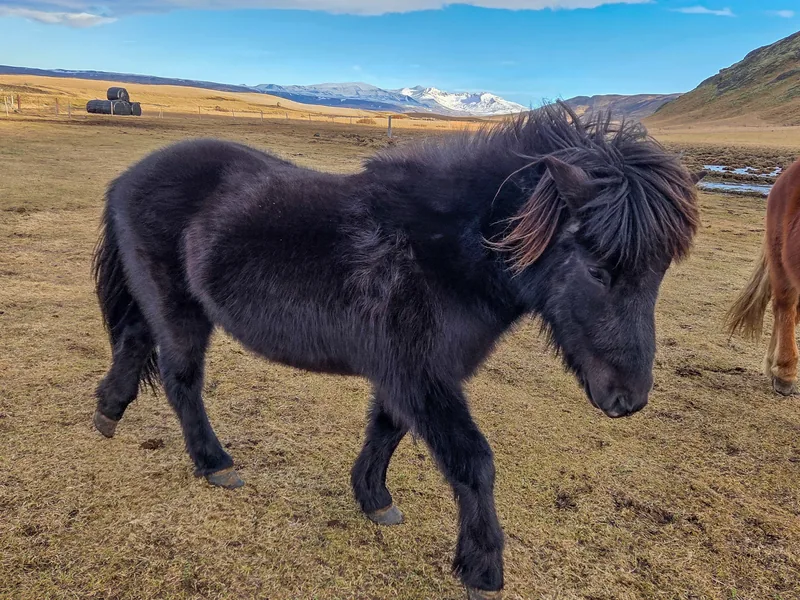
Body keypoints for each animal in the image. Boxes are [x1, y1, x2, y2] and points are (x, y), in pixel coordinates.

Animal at [91, 102, 701, 599]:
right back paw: (215, 463)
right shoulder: (422, 375)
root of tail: (128, 178)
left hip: (156, 303)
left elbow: (387, 430)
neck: (441, 253)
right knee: (181, 379)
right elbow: (472, 461)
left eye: (658, 275)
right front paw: (482, 569)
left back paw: (108, 412)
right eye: (599, 270)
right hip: (178, 308)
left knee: (136, 343)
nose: (629, 399)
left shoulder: (408, 374)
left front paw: (373, 498)